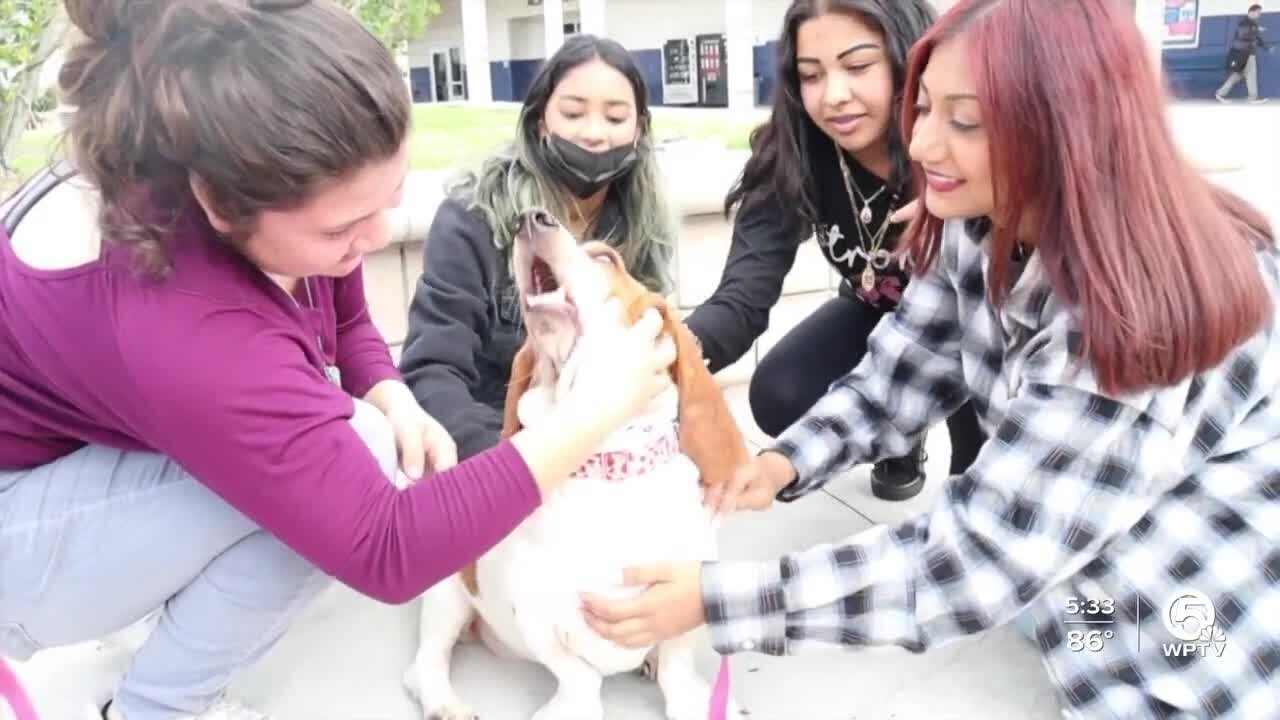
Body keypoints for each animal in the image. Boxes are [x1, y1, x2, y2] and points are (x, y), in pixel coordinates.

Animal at [401, 204, 747, 712]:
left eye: (606, 258)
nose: (530, 217)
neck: (609, 470)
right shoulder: (539, 616)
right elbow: (579, 677)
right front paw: (573, 707)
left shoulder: (684, 594)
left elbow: (677, 664)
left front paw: (689, 699)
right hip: (448, 597)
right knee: (425, 663)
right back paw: (444, 703)